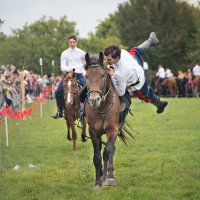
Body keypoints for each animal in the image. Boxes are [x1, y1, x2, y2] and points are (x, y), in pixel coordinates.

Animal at [84, 51, 133, 189]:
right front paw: (98, 182)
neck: (102, 107)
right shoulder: (93, 132)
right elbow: (97, 156)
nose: (94, 99)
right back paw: (102, 175)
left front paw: (110, 177)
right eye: (86, 76)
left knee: (109, 151)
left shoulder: (112, 130)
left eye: (102, 75)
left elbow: (109, 150)